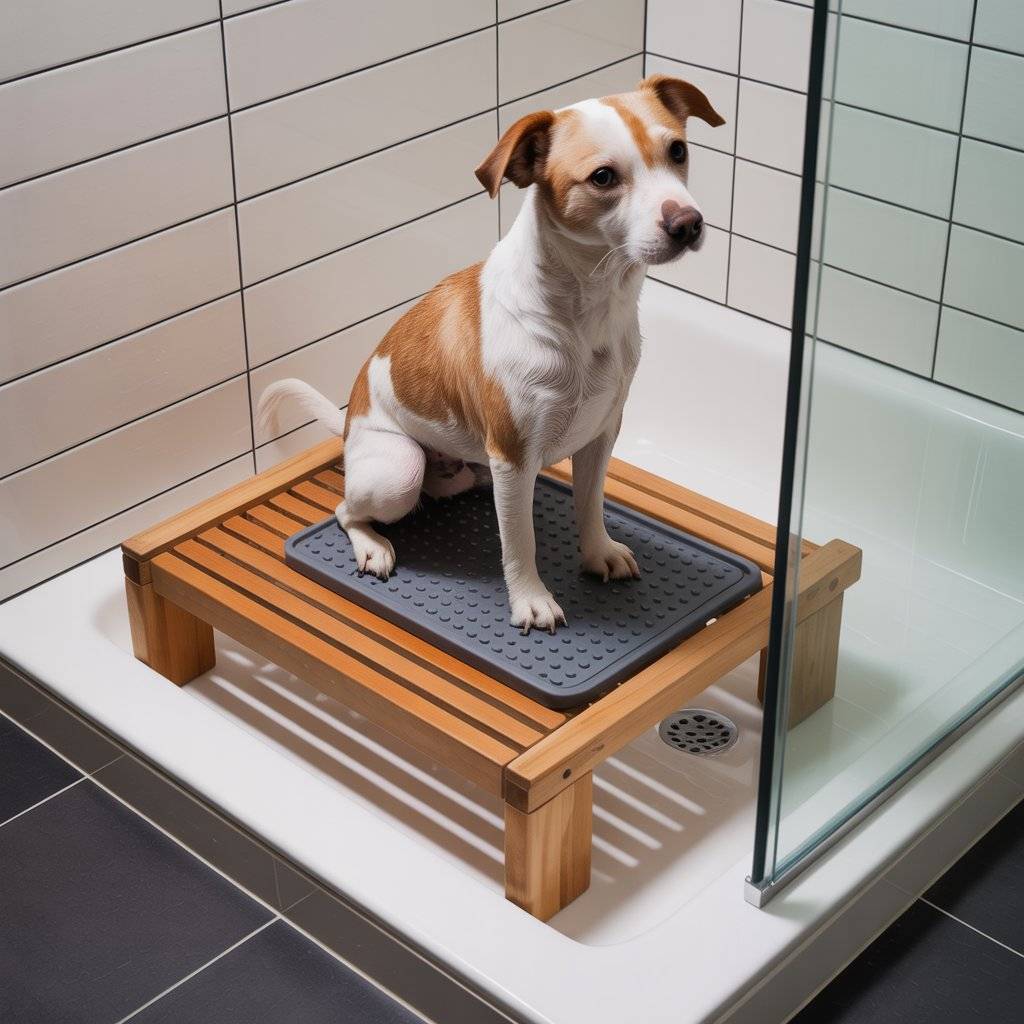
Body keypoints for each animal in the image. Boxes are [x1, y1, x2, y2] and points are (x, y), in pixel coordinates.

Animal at [259, 75, 724, 634]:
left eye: (677, 150)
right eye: (603, 177)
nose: (688, 223)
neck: (586, 312)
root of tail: (349, 423)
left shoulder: (601, 434)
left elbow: (590, 505)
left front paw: (598, 553)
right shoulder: (513, 455)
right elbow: (519, 543)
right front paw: (531, 600)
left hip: (468, 468)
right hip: (399, 470)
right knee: (345, 511)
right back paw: (373, 545)